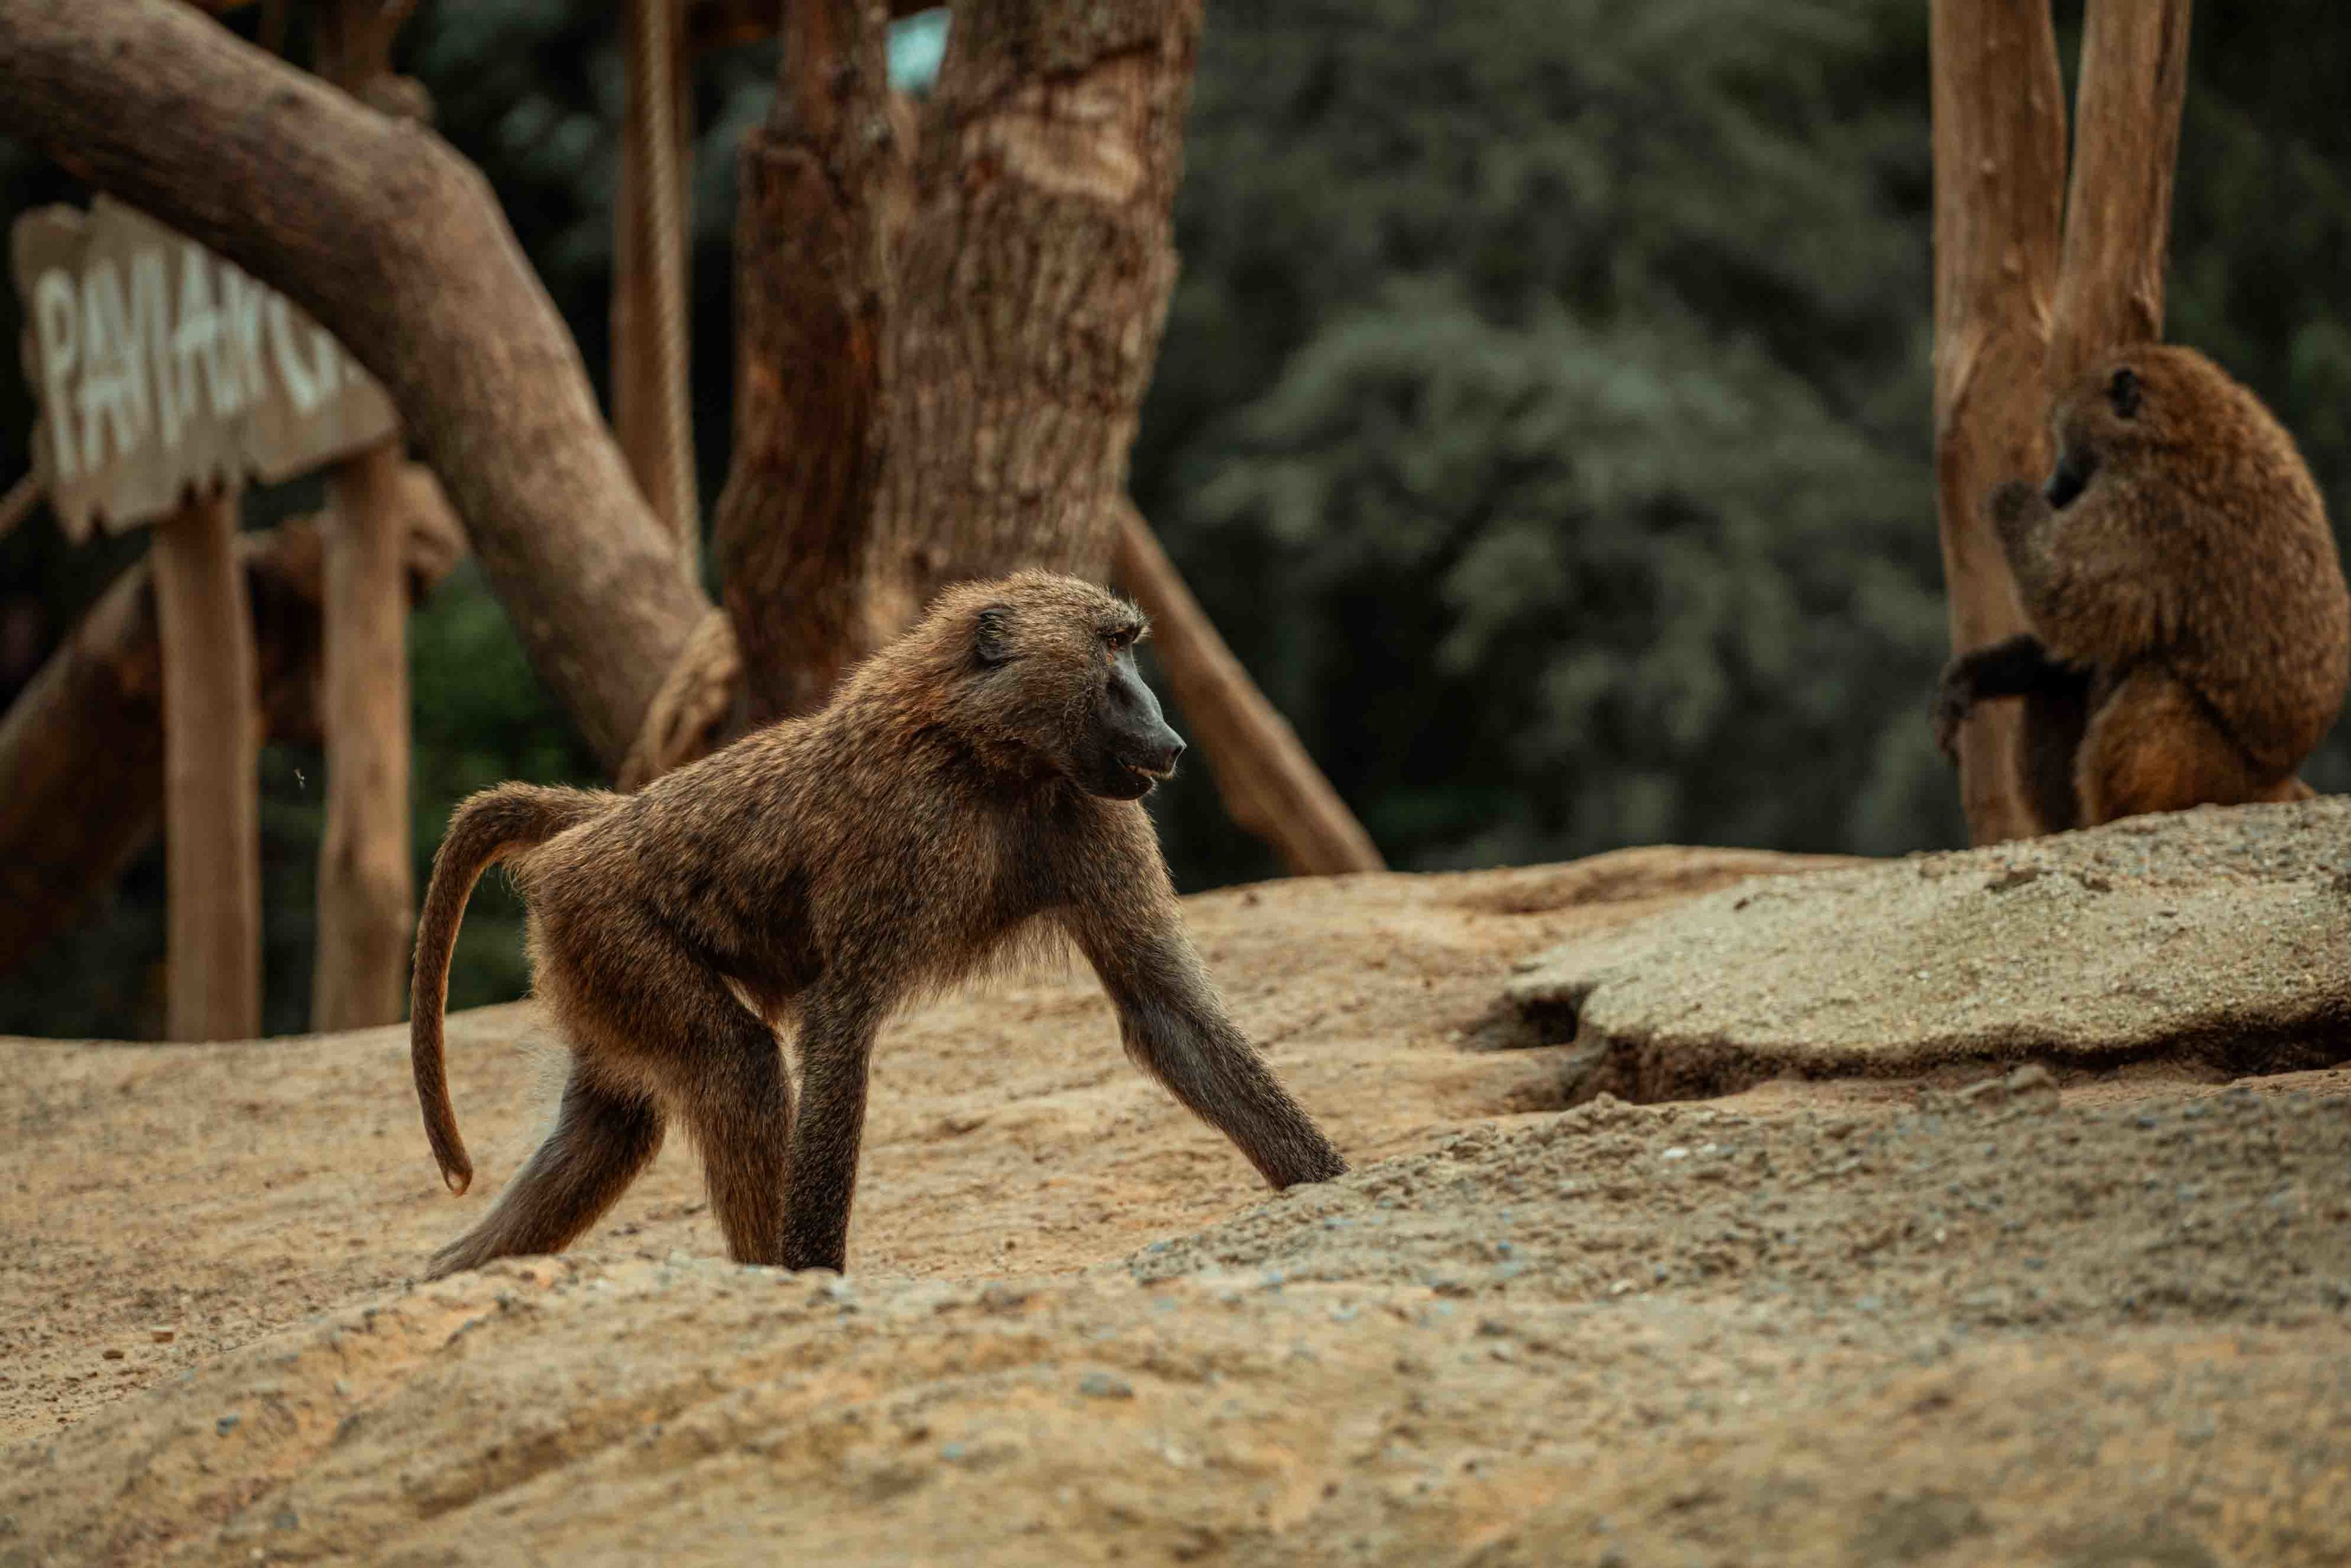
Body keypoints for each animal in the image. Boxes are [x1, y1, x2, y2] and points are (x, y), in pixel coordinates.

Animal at [409, 571, 1348, 1280]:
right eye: (1112, 650)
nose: (1170, 738)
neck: (989, 755)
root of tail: (601, 824)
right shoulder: (907, 831)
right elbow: (841, 1020)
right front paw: (815, 1282)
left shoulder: (1092, 807)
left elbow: (1167, 1013)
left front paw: (1334, 1187)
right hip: (608, 923)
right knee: (735, 1069)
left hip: (589, 954)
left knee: (608, 1130)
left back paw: (445, 1278)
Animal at [1933, 345, 2351, 828]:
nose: (2052, 487)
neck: (2182, 418)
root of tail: (2281, 782)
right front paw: (1981, 673)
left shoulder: (2141, 504)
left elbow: (2068, 597)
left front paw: (2013, 499)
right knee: (2062, 682)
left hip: (2225, 779)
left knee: (2157, 684)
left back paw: (2122, 814)